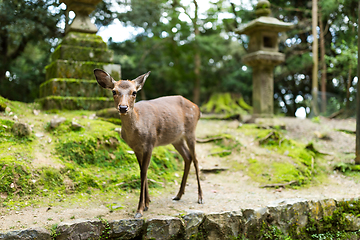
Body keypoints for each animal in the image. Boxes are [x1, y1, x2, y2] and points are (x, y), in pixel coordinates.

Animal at [93, 68, 204, 218]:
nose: (123, 107)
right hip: (176, 139)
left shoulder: (150, 144)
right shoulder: (136, 148)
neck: (136, 131)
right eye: (114, 91)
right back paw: (178, 195)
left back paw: (200, 197)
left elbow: (144, 172)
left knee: (196, 159)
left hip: (191, 131)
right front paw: (147, 203)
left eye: (134, 92)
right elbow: (142, 171)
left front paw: (139, 210)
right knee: (188, 157)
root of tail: (197, 108)